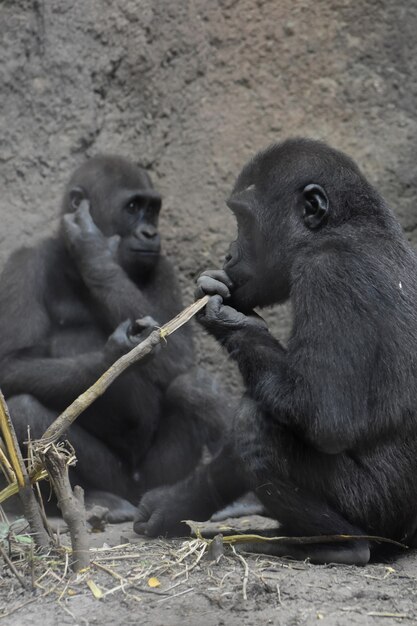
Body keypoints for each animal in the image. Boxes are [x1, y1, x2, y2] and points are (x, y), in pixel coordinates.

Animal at [0, 154, 228, 520]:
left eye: (152, 209)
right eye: (133, 207)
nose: (150, 232)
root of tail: (134, 492)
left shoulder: (161, 265)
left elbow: (179, 353)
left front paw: (94, 253)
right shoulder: (23, 262)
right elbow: (11, 363)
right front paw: (116, 354)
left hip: (154, 476)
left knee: (194, 383)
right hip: (117, 479)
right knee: (24, 409)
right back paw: (95, 499)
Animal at [134, 139, 417, 564]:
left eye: (244, 221)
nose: (228, 254)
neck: (347, 227)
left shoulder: (329, 273)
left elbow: (325, 415)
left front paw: (231, 319)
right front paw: (177, 501)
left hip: (381, 513)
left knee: (256, 427)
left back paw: (342, 546)